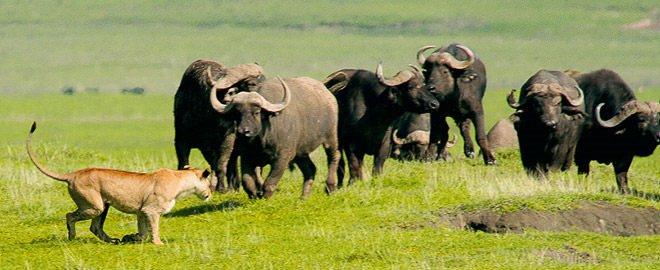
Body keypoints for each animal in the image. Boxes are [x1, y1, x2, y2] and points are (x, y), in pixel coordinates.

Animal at [210, 70, 340, 198]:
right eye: (237, 113)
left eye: (257, 112)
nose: (244, 131)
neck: (261, 140)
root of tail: (328, 94)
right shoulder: (247, 157)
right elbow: (247, 182)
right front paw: (255, 195)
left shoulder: (282, 158)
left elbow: (270, 183)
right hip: (301, 152)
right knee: (310, 169)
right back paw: (304, 197)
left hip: (331, 137)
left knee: (333, 157)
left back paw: (330, 187)